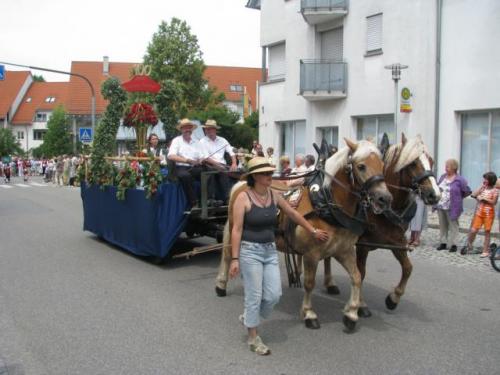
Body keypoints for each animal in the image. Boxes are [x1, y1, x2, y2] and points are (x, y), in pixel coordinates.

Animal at [215, 140, 394, 332]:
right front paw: (309, 314)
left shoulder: (344, 251)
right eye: (361, 166)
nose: (384, 198)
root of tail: (241, 183)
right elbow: (309, 283)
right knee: (228, 256)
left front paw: (352, 313)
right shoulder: (311, 254)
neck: (326, 204)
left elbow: (357, 277)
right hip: (234, 229)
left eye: (382, 165)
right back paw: (221, 285)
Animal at [320, 134, 442, 318]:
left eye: (431, 160)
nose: (435, 195)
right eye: (413, 163)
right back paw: (329, 283)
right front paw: (361, 305)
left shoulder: (397, 243)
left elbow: (408, 268)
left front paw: (393, 298)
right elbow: (361, 272)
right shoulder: (363, 244)